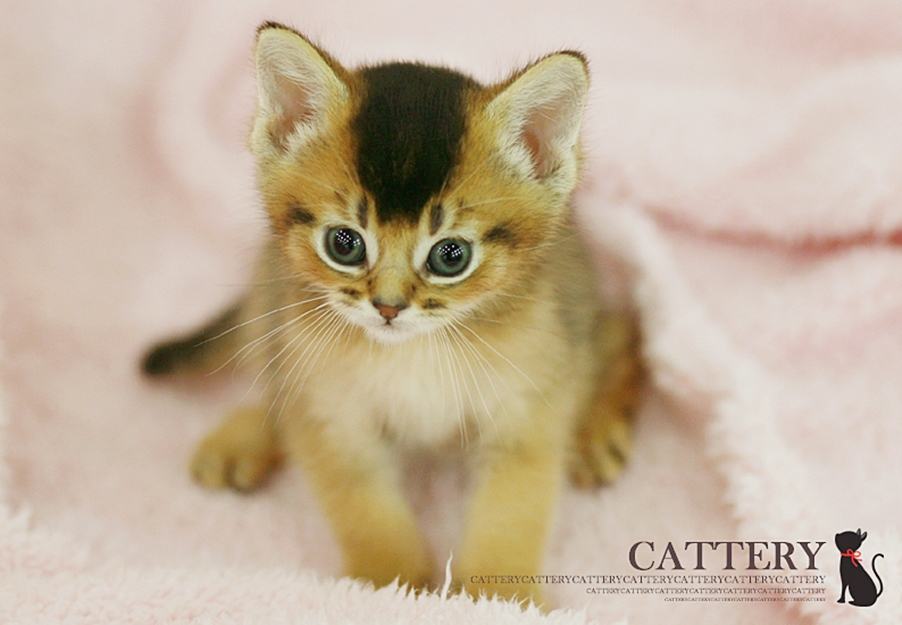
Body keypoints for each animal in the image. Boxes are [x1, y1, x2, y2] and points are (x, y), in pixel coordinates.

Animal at [142, 22, 642, 608]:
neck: (413, 352)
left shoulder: (530, 404)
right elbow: (362, 507)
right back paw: (243, 441)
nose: (388, 306)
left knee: (624, 331)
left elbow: (512, 507)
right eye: (344, 244)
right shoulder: (331, 411)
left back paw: (597, 433)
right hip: (272, 306)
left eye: (451, 255)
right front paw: (389, 584)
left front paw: (500, 596)